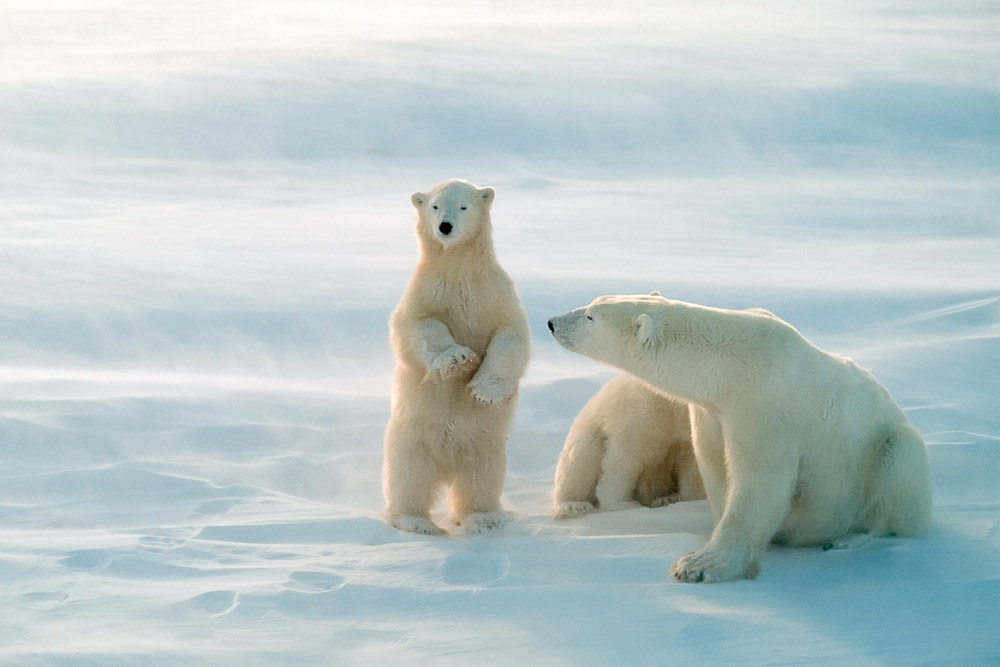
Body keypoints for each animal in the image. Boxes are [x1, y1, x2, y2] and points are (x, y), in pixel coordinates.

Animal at [380, 179, 532, 536]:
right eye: (435, 206)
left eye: (463, 206)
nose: (445, 227)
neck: (459, 270)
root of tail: (447, 466)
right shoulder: (426, 292)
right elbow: (419, 327)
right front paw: (457, 358)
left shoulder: (494, 294)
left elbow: (511, 336)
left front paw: (484, 389)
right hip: (410, 439)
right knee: (409, 478)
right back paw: (415, 521)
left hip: (486, 445)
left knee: (482, 478)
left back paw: (485, 518)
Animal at [556, 374, 704, 520]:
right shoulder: (645, 411)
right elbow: (626, 456)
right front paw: (623, 504)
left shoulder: (686, 435)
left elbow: (691, 468)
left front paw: (687, 498)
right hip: (588, 431)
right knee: (581, 460)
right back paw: (574, 505)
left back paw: (665, 498)